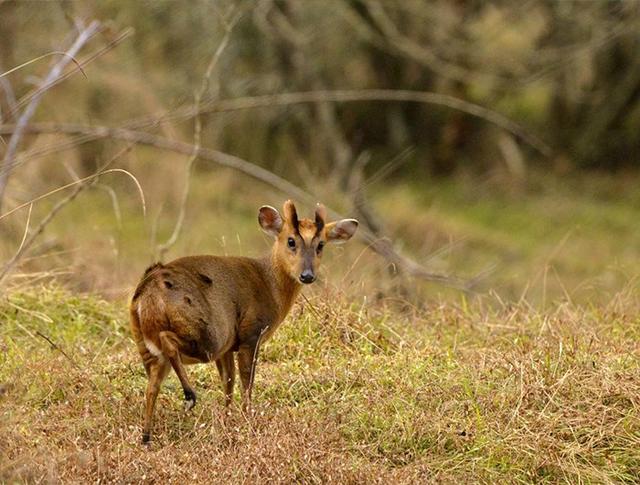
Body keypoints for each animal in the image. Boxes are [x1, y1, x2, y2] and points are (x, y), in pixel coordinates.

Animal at [130, 199, 360, 440]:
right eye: (291, 240)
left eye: (321, 245)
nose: (307, 275)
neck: (270, 284)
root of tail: (149, 291)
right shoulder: (251, 334)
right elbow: (246, 382)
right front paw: (247, 418)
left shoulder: (229, 346)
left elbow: (228, 382)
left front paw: (227, 418)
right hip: (207, 334)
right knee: (168, 341)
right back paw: (189, 396)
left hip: (147, 345)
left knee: (151, 386)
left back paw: (146, 436)